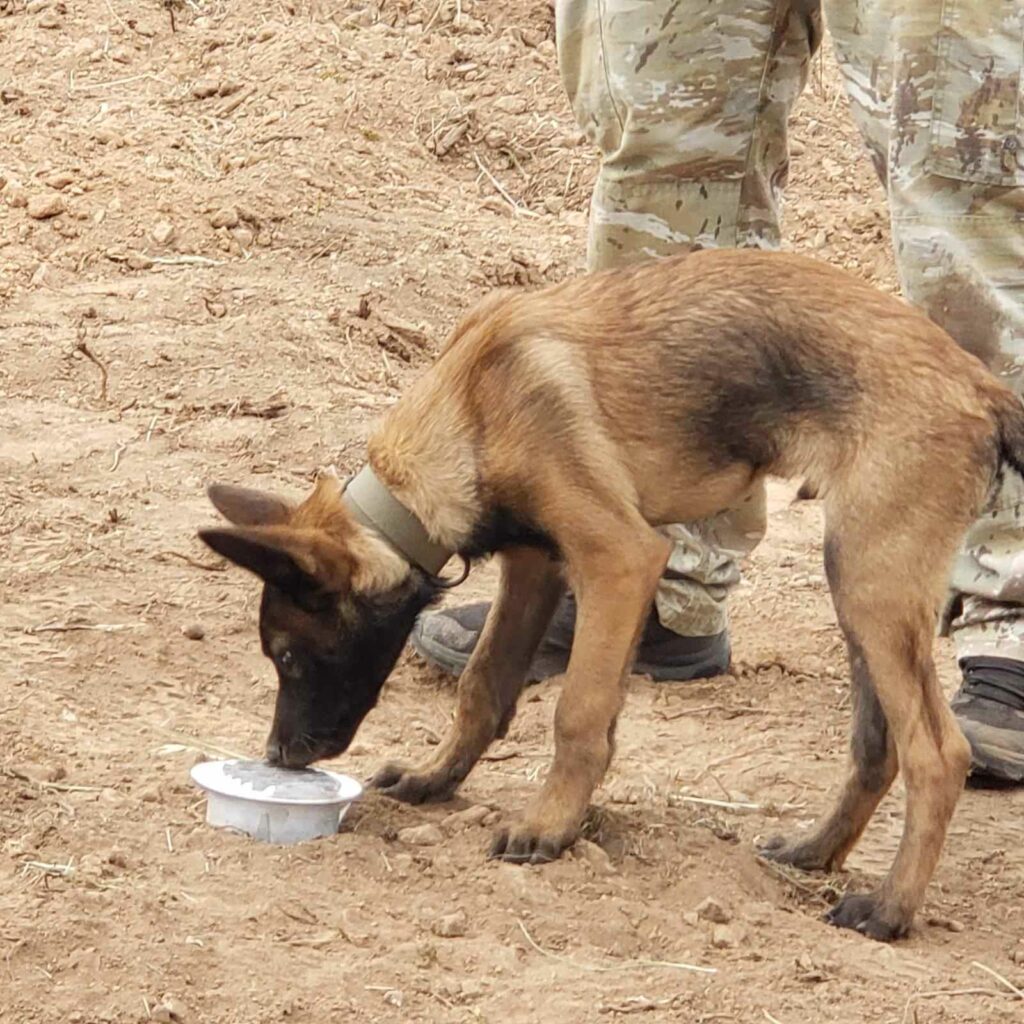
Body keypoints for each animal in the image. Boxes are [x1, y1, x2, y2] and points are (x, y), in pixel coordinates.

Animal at [199, 247, 1024, 937]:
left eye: (289, 656)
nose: (279, 755)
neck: (472, 408)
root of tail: (978, 382)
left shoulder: (620, 558)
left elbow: (577, 712)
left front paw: (549, 826)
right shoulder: (536, 563)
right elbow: (483, 686)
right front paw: (439, 777)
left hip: (871, 581)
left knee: (936, 754)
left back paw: (889, 909)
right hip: (860, 581)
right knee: (877, 746)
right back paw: (815, 852)